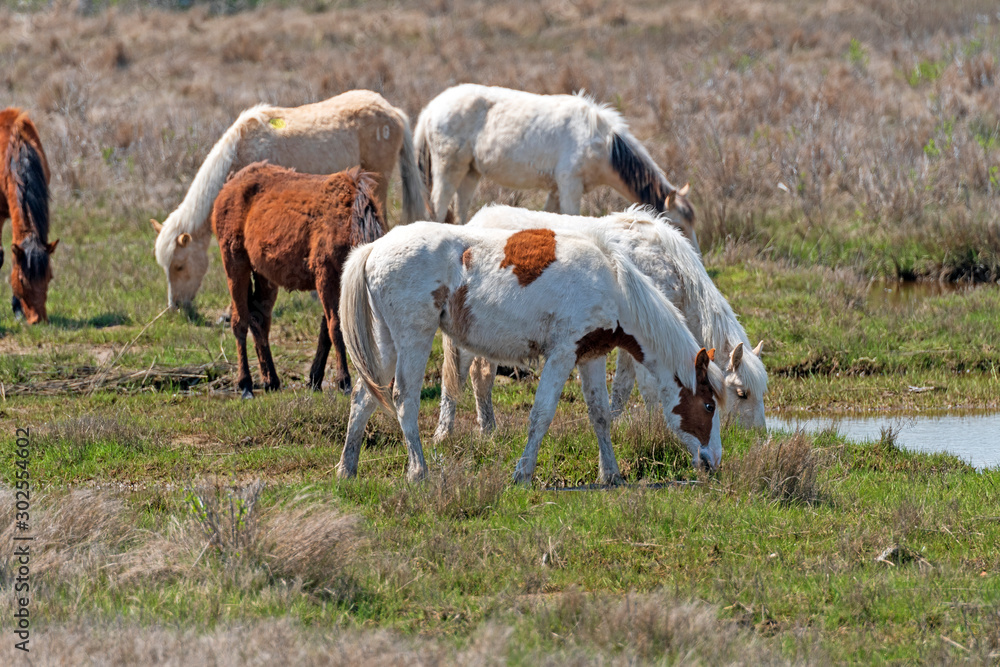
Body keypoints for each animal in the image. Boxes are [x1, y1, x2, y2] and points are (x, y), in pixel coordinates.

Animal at [211, 163, 384, 398]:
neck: (350, 222)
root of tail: (228, 186)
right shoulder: (326, 277)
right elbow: (335, 326)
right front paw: (343, 381)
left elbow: (326, 330)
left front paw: (315, 378)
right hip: (235, 262)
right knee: (240, 321)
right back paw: (245, 384)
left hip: (264, 275)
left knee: (259, 318)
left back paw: (271, 380)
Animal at [337, 220, 725, 484]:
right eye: (709, 405)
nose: (714, 460)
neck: (612, 284)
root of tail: (374, 248)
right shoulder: (562, 355)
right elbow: (541, 414)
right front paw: (523, 473)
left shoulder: (591, 356)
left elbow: (600, 416)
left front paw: (611, 474)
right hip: (413, 339)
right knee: (404, 400)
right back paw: (418, 471)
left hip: (386, 344)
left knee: (363, 398)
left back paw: (347, 468)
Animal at [414, 84, 697, 247]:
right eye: (678, 226)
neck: (603, 144)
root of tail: (430, 109)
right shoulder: (569, 184)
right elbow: (571, 217)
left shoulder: (557, 189)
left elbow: (549, 217)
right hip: (449, 169)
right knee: (439, 207)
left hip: (470, 173)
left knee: (460, 210)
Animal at [432, 206, 768, 444]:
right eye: (742, 394)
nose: (759, 437)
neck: (672, 267)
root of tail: (474, 221)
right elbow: (647, 386)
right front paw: (654, 427)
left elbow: (623, 385)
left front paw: (616, 423)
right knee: (458, 376)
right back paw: (444, 433)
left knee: (481, 375)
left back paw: (488, 429)